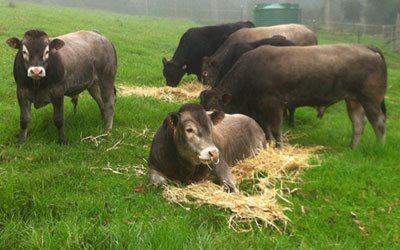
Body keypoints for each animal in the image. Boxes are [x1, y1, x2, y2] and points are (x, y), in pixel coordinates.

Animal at [200, 44, 388, 148]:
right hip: (353, 99)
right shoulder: (262, 109)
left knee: (378, 122)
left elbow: (276, 129)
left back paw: (380, 147)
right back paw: (352, 147)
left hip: (370, 99)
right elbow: (266, 129)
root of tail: (366, 47)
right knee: (359, 123)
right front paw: (269, 143)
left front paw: (279, 147)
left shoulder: (274, 105)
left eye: (215, 108)